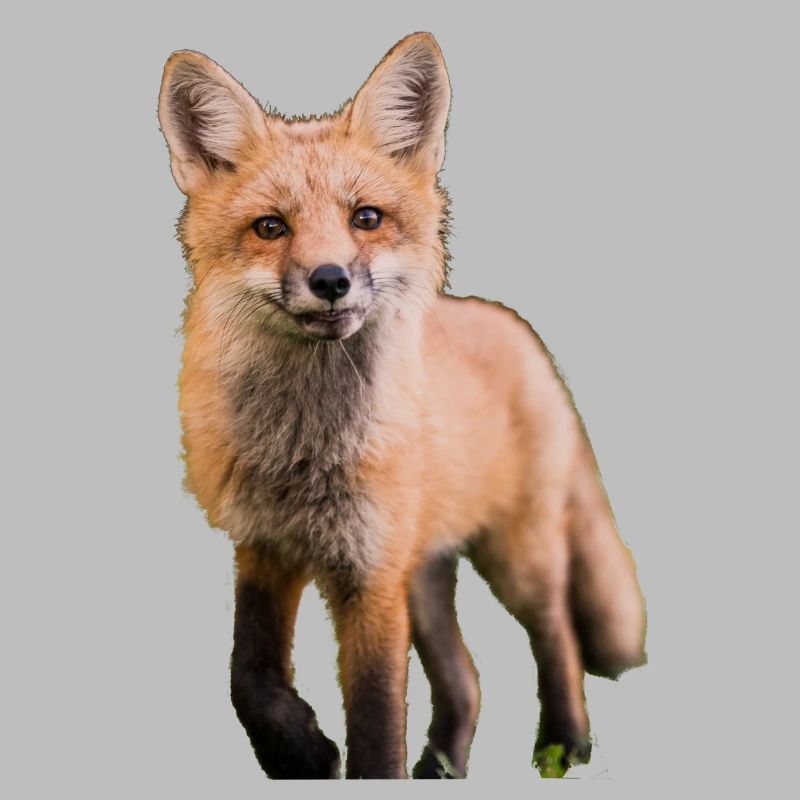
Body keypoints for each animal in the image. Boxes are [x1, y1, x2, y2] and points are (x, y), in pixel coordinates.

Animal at [157, 32, 646, 780]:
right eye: (270, 227)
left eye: (366, 218)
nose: (330, 279)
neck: (305, 450)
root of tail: (513, 324)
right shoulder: (265, 546)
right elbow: (248, 675)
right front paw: (299, 750)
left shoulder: (371, 574)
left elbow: (377, 717)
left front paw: (340, 757)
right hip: (425, 574)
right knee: (468, 675)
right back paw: (445, 762)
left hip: (516, 556)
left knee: (557, 633)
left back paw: (564, 742)